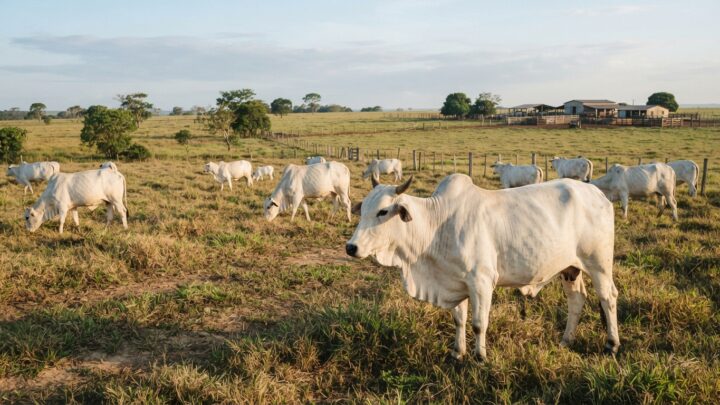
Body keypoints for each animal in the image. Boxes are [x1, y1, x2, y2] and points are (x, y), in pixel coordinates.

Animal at [346, 174, 619, 361]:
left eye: (383, 211)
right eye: (363, 209)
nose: (351, 247)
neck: (437, 226)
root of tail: (597, 192)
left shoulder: (482, 281)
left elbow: (479, 322)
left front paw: (480, 357)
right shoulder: (456, 282)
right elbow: (459, 320)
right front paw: (458, 353)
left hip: (598, 263)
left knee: (608, 297)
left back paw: (611, 344)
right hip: (570, 268)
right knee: (577, 300)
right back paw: (565, 340)